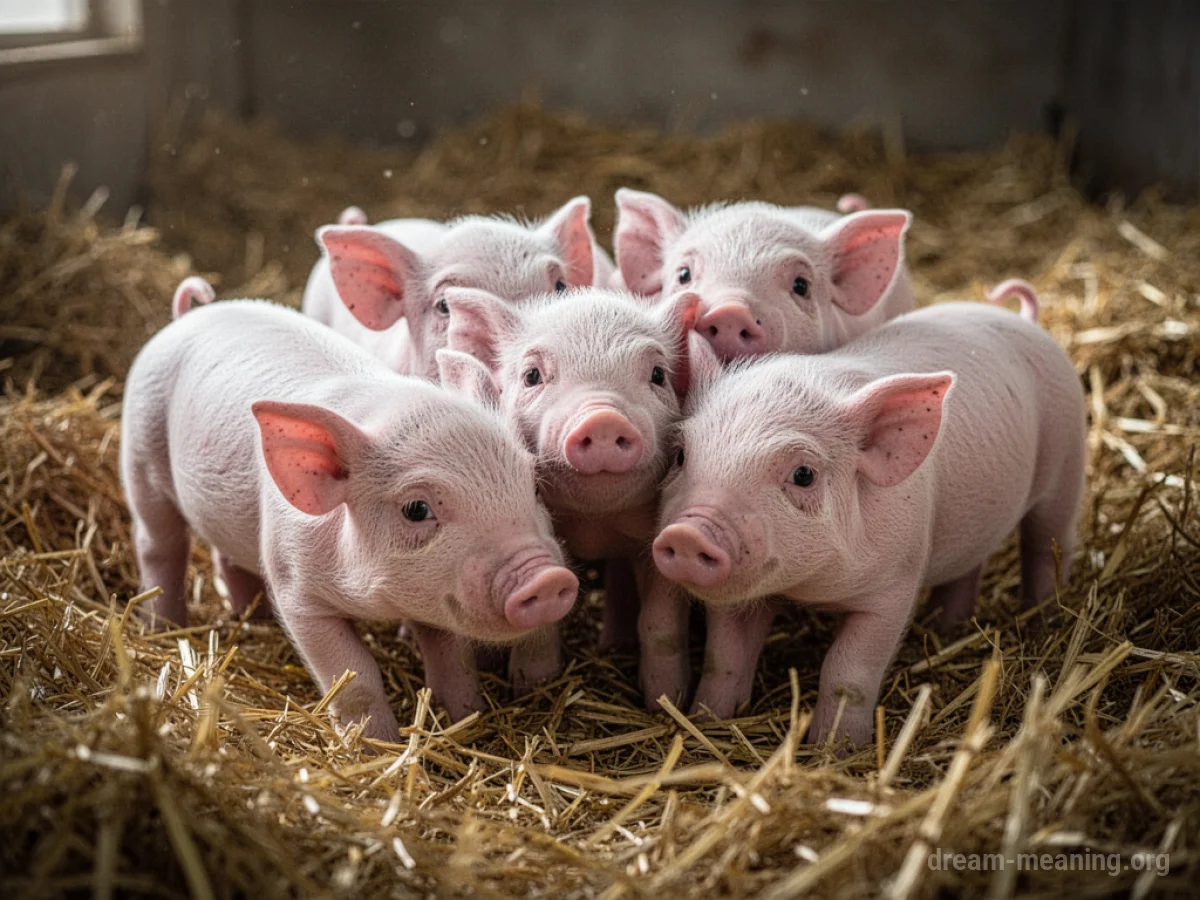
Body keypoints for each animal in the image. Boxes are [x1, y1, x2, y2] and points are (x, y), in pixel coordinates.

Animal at [121, 283, 578, 741]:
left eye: (534, 486)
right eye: (416, 509)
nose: (547, 577)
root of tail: (188, 316)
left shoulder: (435, 599)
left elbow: (451, 660)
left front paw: (466, 721)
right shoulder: (296, 590)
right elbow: (355, 675)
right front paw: (375, 744)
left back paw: (252, 615)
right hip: (141, 453)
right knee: (159, 544)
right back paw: (163, 628)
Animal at [439, 286, 716, 692]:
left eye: (657, 375)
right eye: (532, 375)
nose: (603, 418)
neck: (594, 522)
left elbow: (658, 621)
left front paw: (666, 695)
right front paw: (532, 684)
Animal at [651, 285, 1086, 745]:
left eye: (803, 474)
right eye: (680, 455)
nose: (688, 534)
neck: (810, 588)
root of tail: (1028, 321)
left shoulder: (894, 584)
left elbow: (847, 671)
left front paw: (836, 748)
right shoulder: (740, 599)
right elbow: (725, 656)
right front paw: (704, 720)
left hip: (1067, 461)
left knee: (1047, 544)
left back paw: (1044, 618)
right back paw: (946, 626)